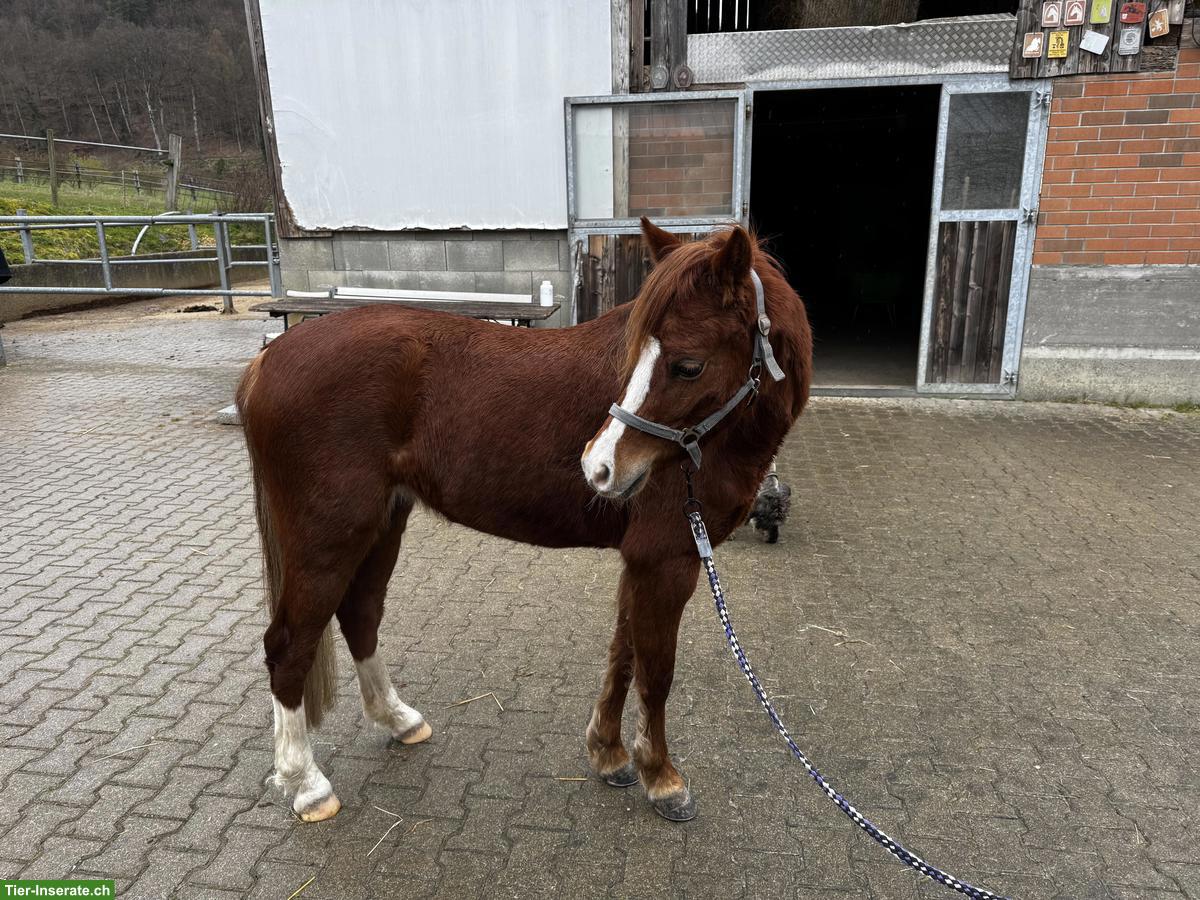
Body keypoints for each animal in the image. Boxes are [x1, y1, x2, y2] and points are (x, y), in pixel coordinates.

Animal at [235, 218, 813, 823]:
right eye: (644, 358)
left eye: (688, 365)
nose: (599, 467)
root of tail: (267, 361)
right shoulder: (667, 560)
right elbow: (656, 672)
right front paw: (662, 778)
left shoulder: (642, 563)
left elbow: (624, 656)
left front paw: (609, 755)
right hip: (327, 537)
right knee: (289, 645)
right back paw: (306, 784)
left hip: (381, 524)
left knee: (360, 616)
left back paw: (398, 719)